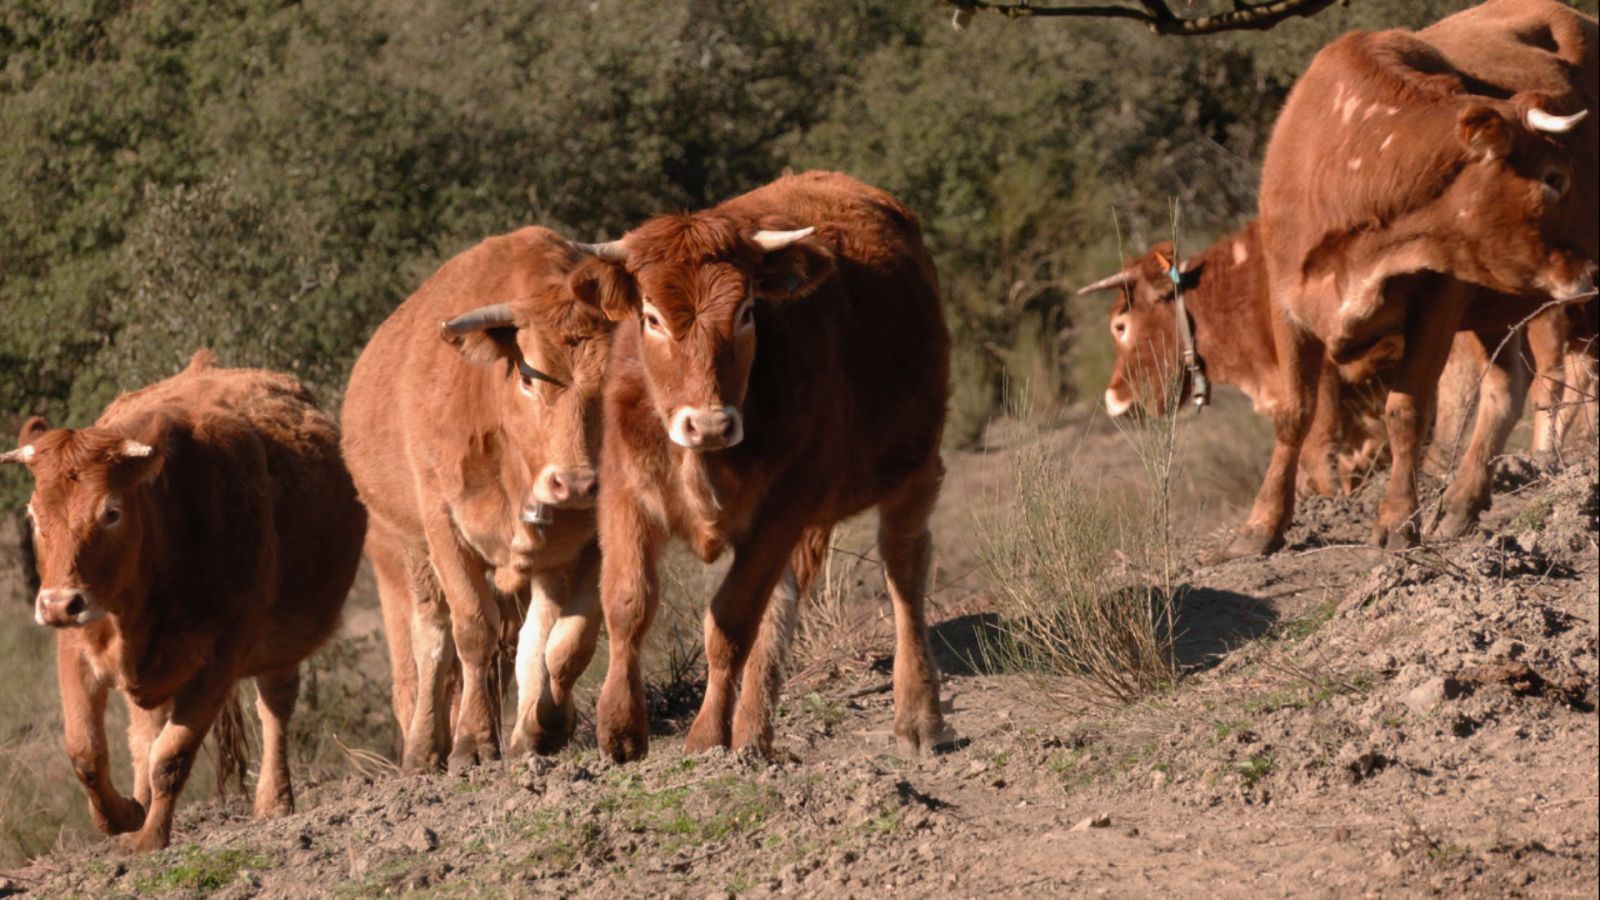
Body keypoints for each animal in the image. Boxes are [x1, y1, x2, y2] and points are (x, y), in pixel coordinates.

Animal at [0, 350, 363, 845]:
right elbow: (86, 752)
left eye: (111, 512)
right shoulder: (74, 647)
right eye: (34, 515)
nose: (58, 604)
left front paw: (151, 840)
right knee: (142, 732)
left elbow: (172, 755)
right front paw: (123, 818)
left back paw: (274, 801)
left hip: (280, 642)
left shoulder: (222, 657)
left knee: (275, 704)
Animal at [340, 227, 614, 768]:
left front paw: (542, 727)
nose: (575, 484)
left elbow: (563, 641)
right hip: (407, 547)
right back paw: (425, 747)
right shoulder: (444, 528)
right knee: (432, 638)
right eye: (530, 378)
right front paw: (472, 740)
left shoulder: (585, 543)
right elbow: (471, 629)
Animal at [569, 168, 953, 755]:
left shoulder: (785, 504)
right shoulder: (624, 492)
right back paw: (753, 735)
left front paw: (706, 736)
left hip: (914, 466)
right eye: (652, 317)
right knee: (782, 604)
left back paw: (918, 716)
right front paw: (620, 729)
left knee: (904, 570)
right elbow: (628, 603)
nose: (708, 424)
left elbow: (729, 621)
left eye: (747, 312)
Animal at [1228, 0, 1593, 554]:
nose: (1588, 267)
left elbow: (1406, 410)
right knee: (1507, 387)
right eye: (1554, 178)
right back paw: (1461, 504)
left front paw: (1398, 518)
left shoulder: (1440, 297)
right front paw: (1262, 524)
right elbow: (1294, 412)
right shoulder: (1286, 300)